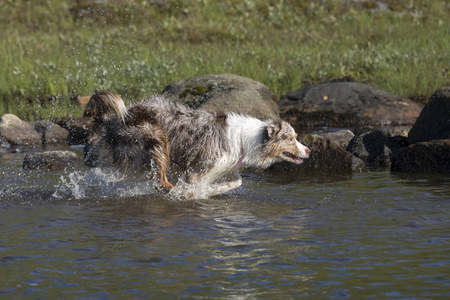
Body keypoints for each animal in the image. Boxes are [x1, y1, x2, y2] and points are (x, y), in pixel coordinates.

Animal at [83, 91, 310, 197]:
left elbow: (237, 182)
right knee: (162, 184)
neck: (246, 139)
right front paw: (198, 193)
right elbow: (195, 186)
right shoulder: (198, 168)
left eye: (295, 136)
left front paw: (216, 189)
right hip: (157, 138)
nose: (308, 150)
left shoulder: (226, 167)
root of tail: (115, 123)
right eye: (290, 138)